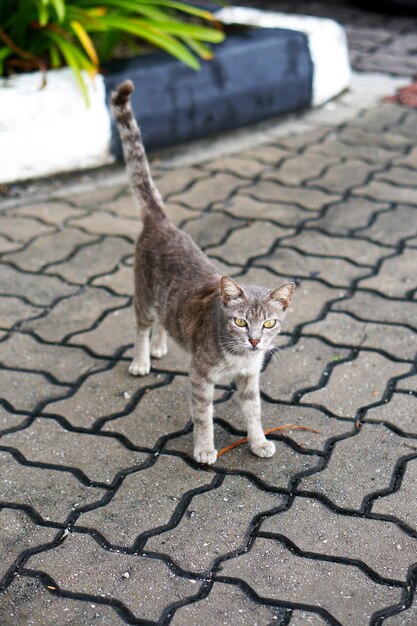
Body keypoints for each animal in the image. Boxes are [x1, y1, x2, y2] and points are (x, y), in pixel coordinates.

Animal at [110, 80, 292, 464]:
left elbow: (254, 412)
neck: (238, 356)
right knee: (142, 327)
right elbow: (204, 416)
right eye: (241, 321)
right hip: (145, 297)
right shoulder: (200, 376)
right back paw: (142, 359)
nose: (256, 341)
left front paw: (258, 441)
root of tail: (162, 222)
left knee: (164, 323)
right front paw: (206, 448)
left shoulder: (250, 378)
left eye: (269, 323)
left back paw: (161, 346)